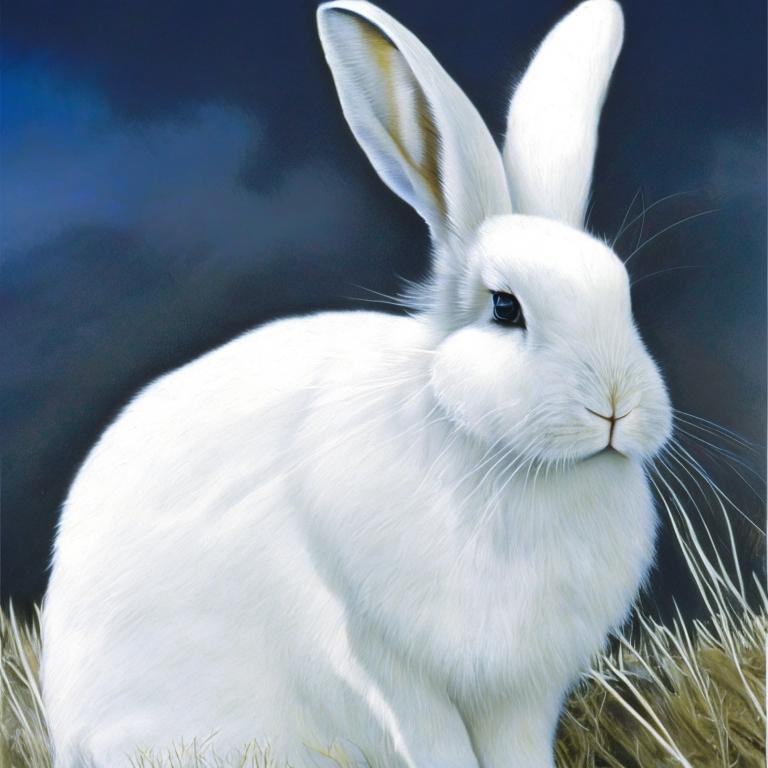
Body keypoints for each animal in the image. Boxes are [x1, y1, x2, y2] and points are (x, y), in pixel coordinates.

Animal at [41, 1, 673, 766]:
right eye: (505, 308)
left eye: (623, 293)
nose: (616, 406)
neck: (509, 466)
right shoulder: (376, 655)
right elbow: (433, 741)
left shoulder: (523, 692)